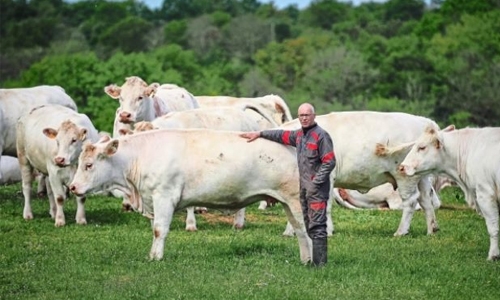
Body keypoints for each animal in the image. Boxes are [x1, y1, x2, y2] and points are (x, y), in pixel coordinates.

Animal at [69, 129, 312, 262]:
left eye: (89, 165)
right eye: (80, 163)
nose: (72, 187)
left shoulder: (164, 196)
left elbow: (160, 230)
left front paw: (157, 257)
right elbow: (155, 229)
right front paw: (152, 254)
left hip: (296, 200)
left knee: (306, 230)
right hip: (287, 202)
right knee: (299, 231)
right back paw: (305, 259)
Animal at [282, 111, 442, 238]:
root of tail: (425, 121)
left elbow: (323, 205)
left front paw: (326, 231)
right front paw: (291, 231)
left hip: (405, 175)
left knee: (411, 201)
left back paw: (401, 231)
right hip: (422, 177)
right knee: (426, 199)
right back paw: (431, 229)